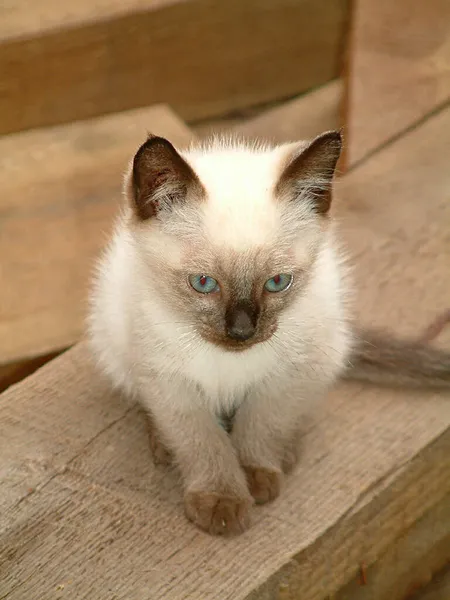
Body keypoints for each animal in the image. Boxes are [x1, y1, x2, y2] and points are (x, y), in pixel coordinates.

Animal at [87, 131, 450, 536]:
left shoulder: (287, 376)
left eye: (278, 282)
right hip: (112, 339)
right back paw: (164, 445)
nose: (242, 331)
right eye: (203, 283)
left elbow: (262, 423)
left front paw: (254, 476)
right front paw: (221, 501)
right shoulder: (168, 381)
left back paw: (286, 451)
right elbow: (202, 440)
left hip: (328, 347)